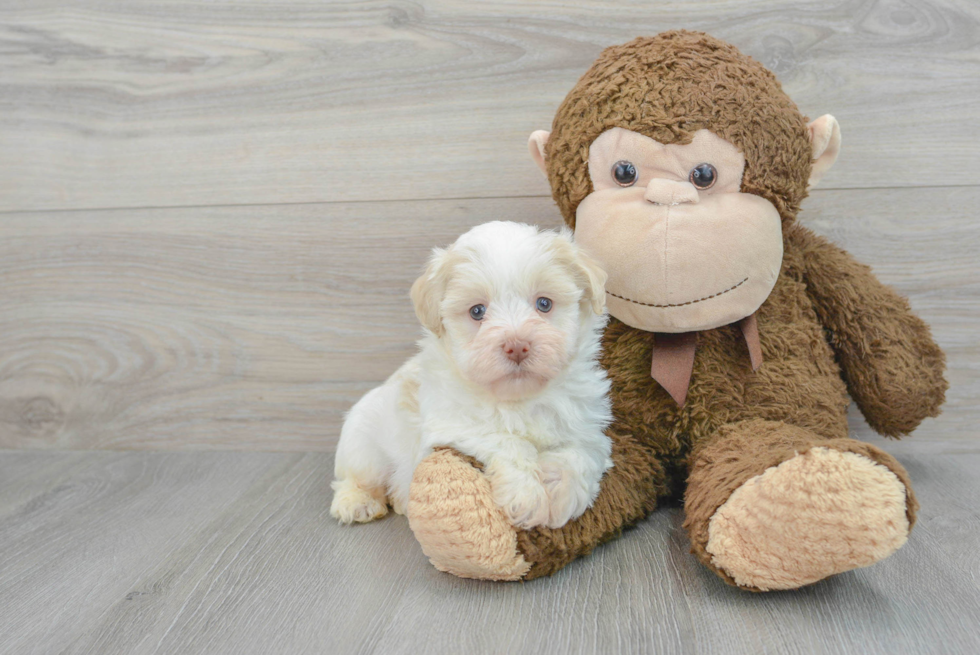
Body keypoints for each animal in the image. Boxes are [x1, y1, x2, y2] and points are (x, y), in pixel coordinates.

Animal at [330, 223, 612, 532]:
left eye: (544, 304)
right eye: (477, 311)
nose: (517, 346)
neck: (519, 399)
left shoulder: (589, 428)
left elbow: (582, 454)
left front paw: (562, 494)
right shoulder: (453, 424)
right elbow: (509, 441)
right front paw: (528, 497)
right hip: (363, 447)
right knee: (356, 478)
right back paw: (357, 502)